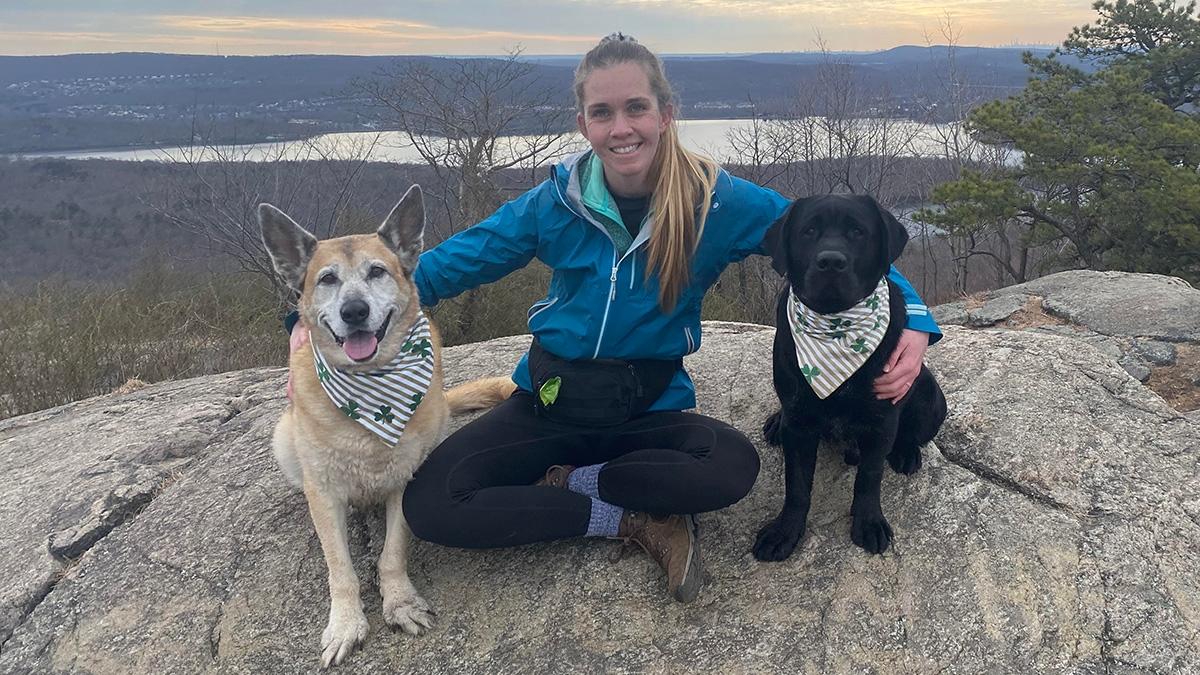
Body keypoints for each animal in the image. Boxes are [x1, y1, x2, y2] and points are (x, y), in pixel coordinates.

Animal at [258, 184, 511, 667]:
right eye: (327, 280)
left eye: (377, 271)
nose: (354, 311)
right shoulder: (325, 493)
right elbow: (340, 568)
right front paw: (346, 623)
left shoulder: (406, 482)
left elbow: (392, 553)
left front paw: (399, 602)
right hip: (284, 437)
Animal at [753, 193, 940, 557]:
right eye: (809, 231)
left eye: (857, 232)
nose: (830, 261)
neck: (836, 326)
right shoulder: (799, 424)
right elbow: (797, 486)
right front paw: (785, 531)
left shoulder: (882, 419)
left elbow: (869, 477)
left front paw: (868, 522)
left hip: (930, 395)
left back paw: (906, 452)